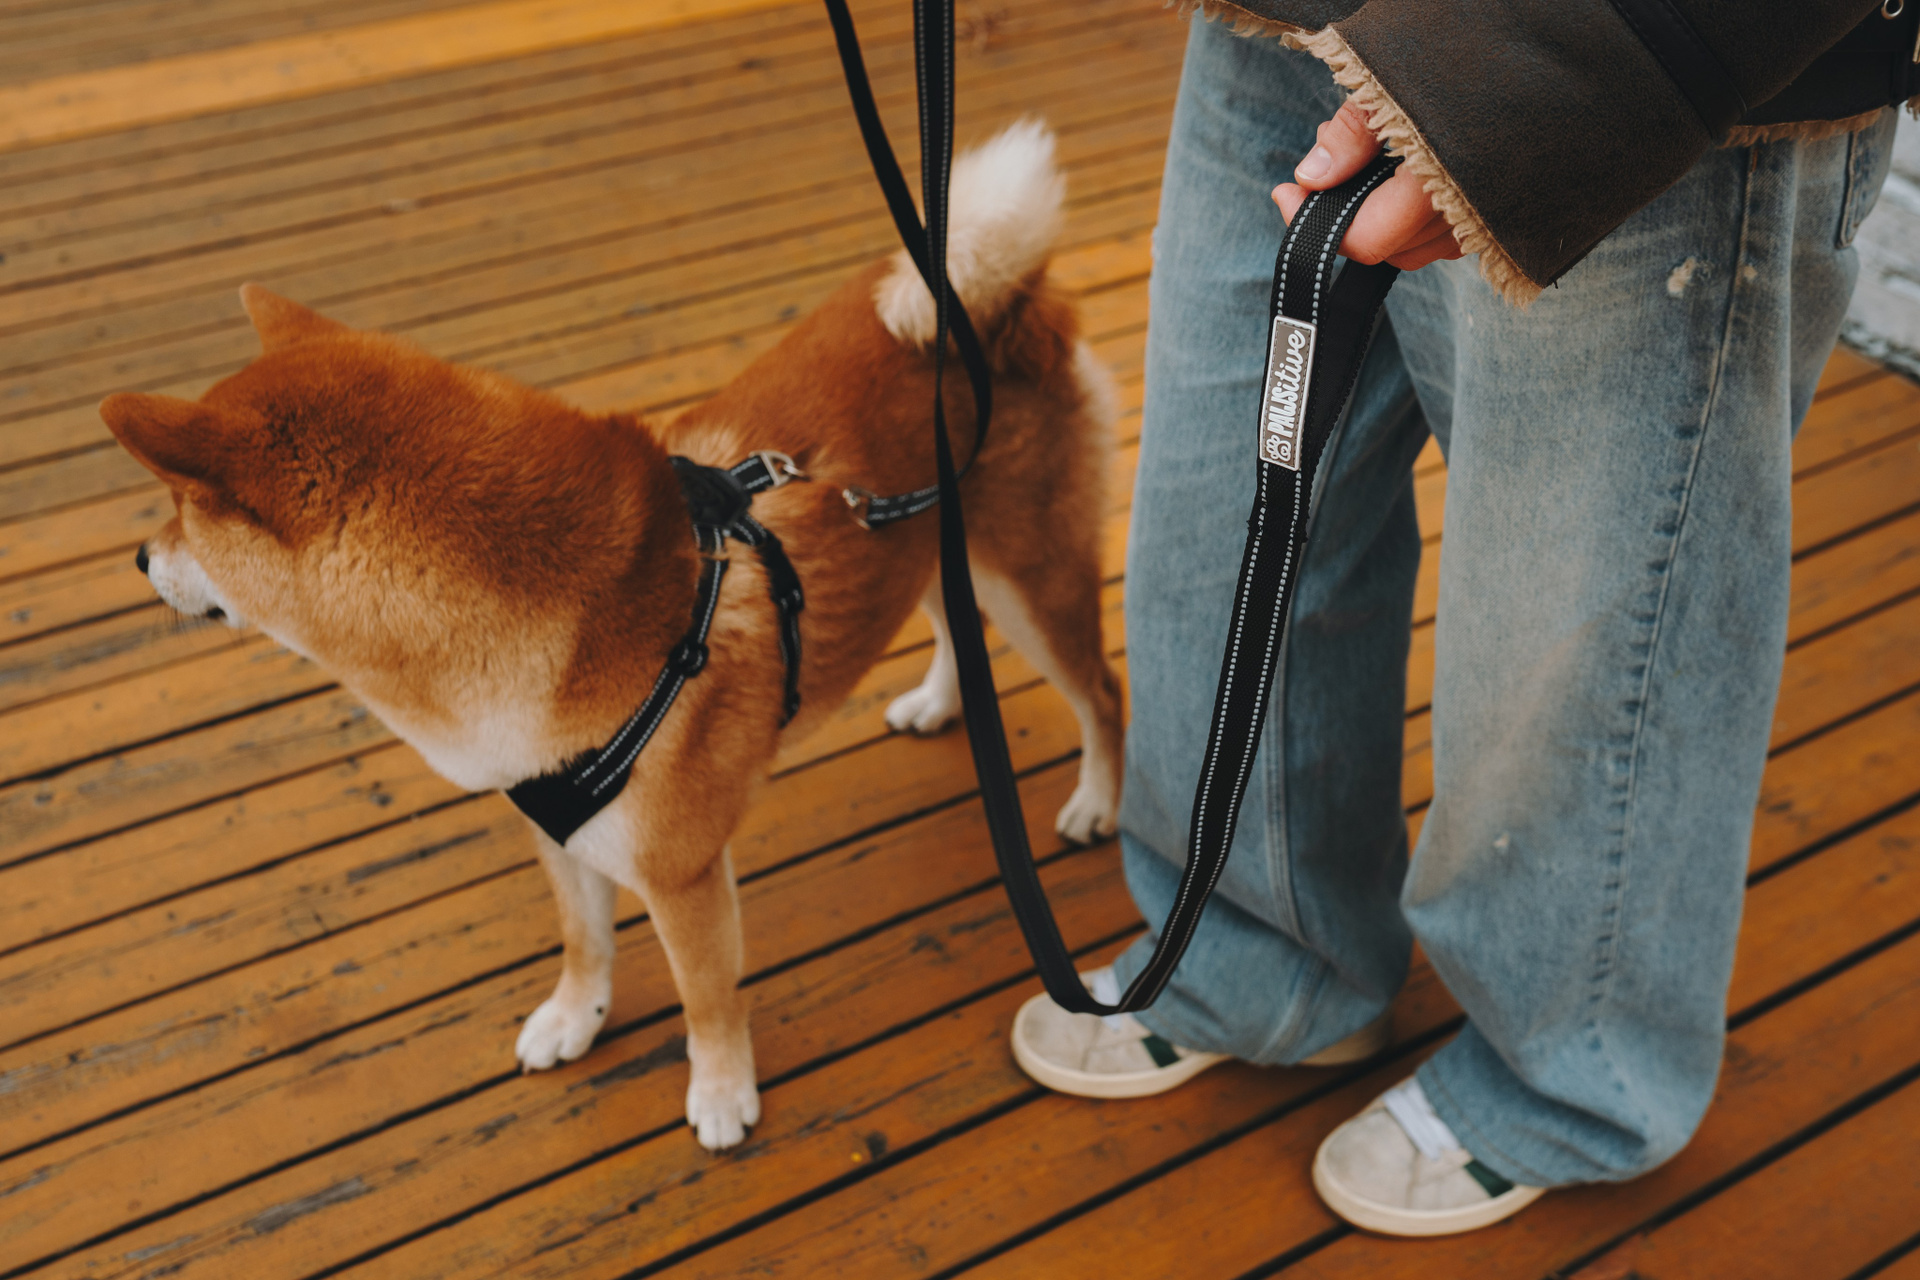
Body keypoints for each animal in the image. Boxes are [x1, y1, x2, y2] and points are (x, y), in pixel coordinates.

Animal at [100, 121, 1122, 1150]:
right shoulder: (554, 825)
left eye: (182, 512)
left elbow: (706, 996)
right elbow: (582, 942)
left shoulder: (679, 874)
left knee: (1103, 694)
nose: (141, 558)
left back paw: (1097, 803)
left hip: (1031, 582)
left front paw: (721, 1092)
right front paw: (574, 1018)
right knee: (959, 629)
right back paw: (942, 703)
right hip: (934, 551)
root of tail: (998, 306)